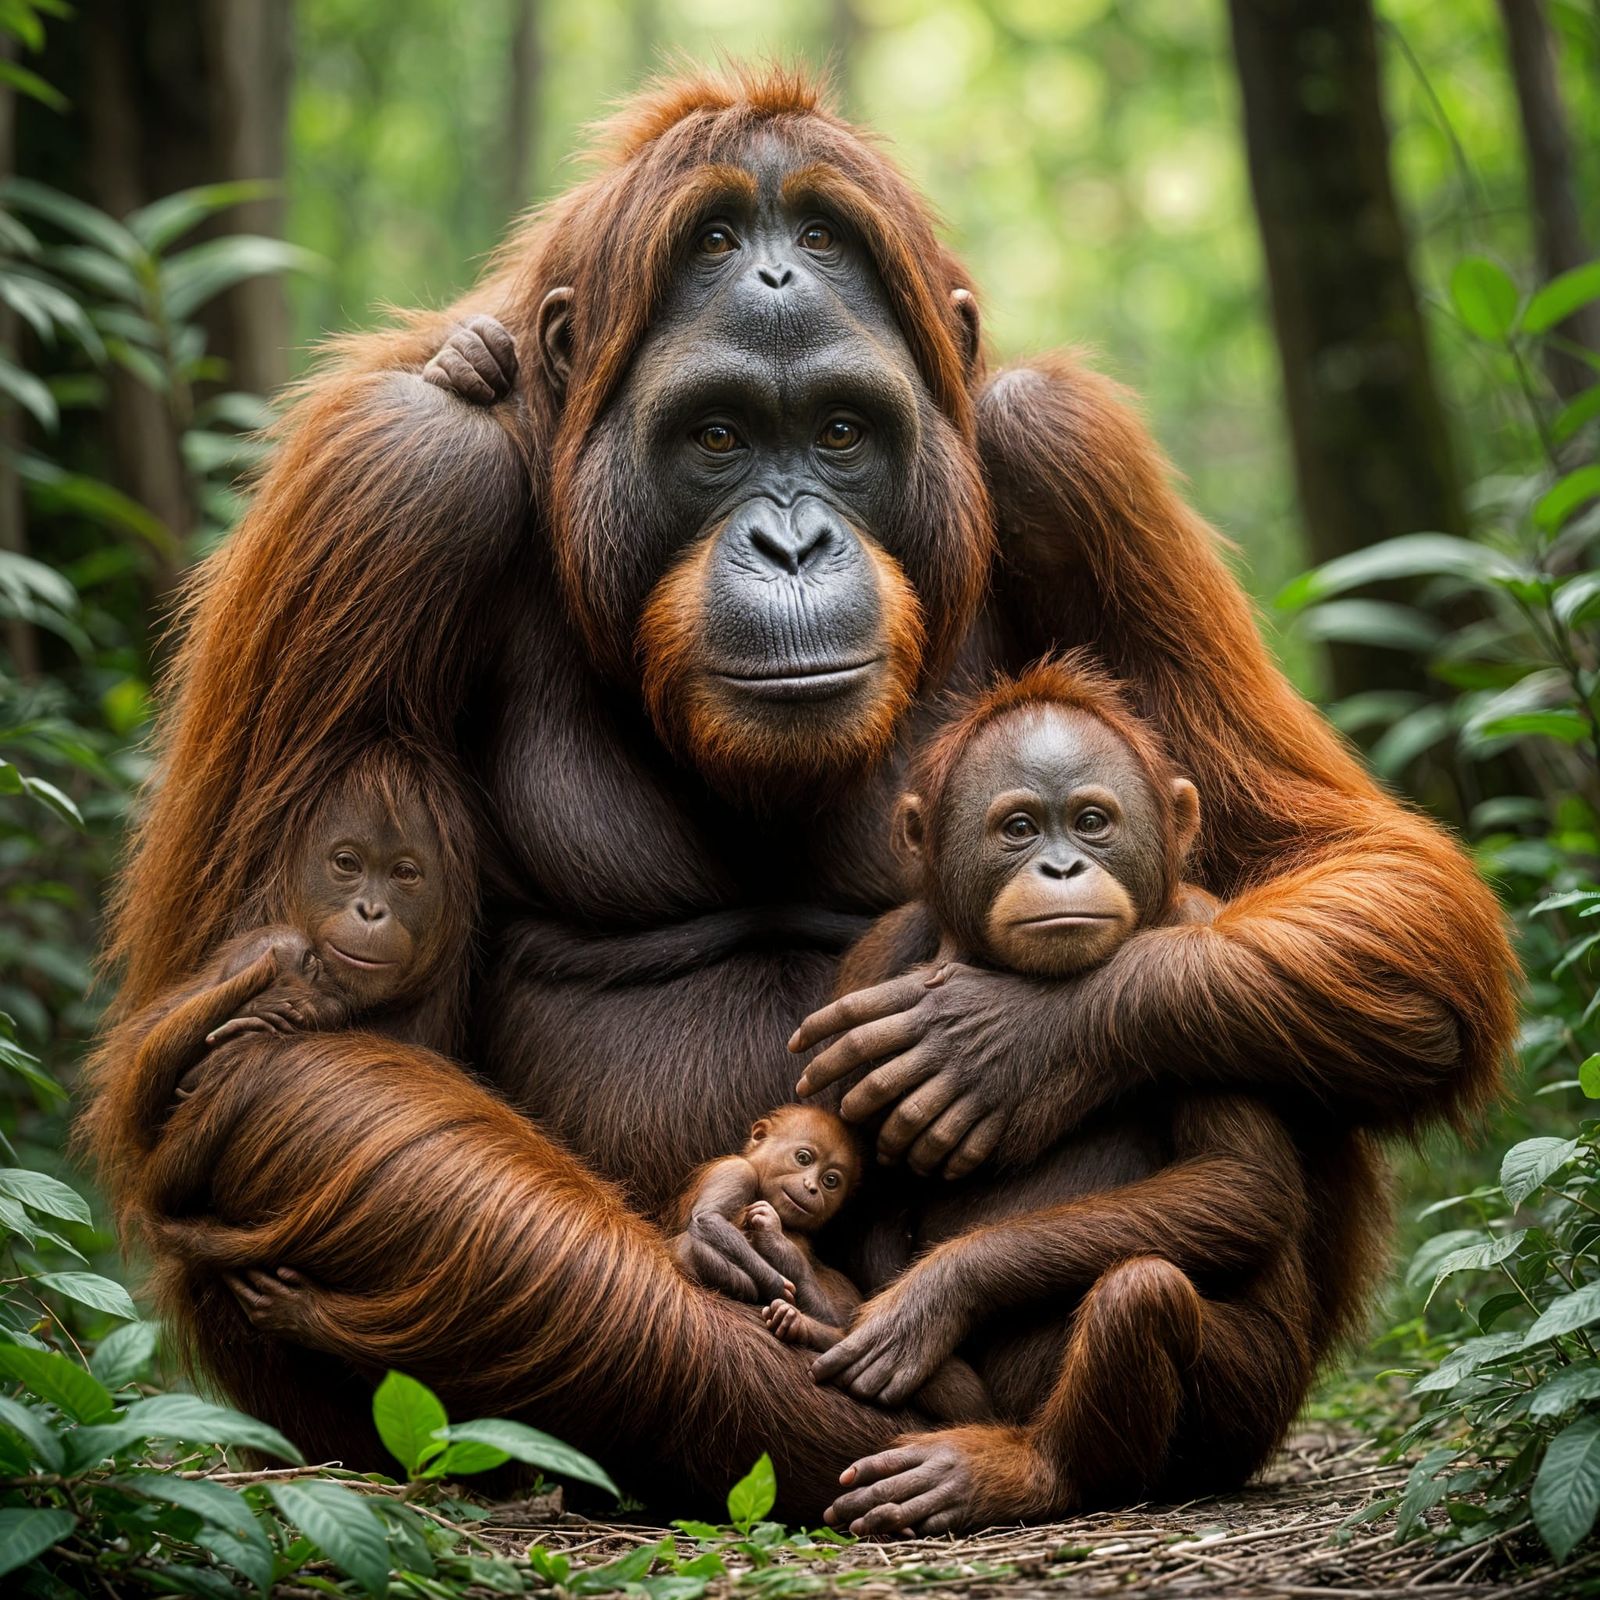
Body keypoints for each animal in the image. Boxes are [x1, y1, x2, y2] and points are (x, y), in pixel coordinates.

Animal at [669, 1103, 993, 1425]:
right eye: (803, 1158)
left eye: (831, 1181)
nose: (812, 1187)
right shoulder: (737, 1171)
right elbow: (709, 1218)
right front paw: (774, 1283)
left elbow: (837, 1320)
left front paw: (775, 1241)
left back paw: (792, 1321)